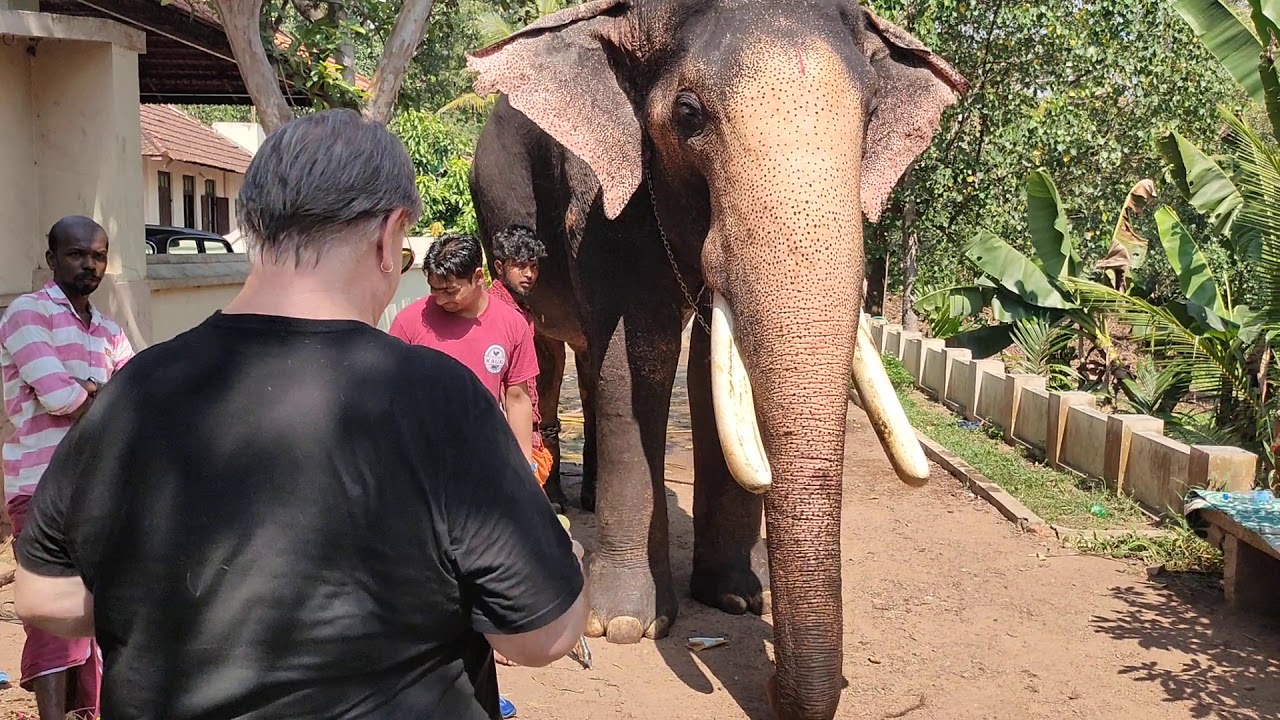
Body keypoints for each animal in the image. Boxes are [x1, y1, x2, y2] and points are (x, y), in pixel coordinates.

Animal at [465, 1, 966, 717]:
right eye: (689, 114)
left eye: (869, 117)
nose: (775, 684)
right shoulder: (601, 196)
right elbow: (638, 354)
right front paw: (628, 624)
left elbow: (709, 362)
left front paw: (735, 598)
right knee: (556, 356)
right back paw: (560, 502)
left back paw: (586, 499)